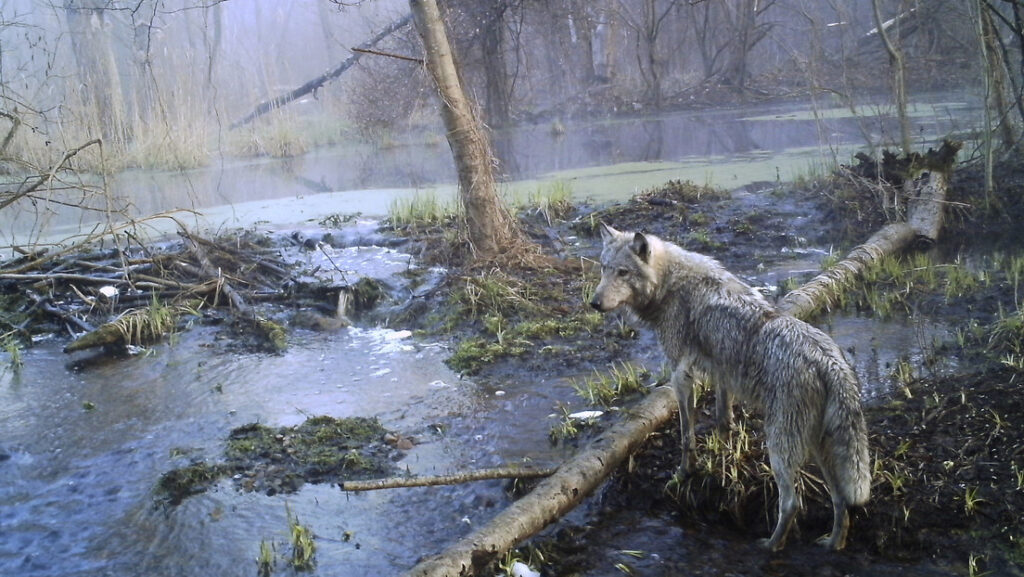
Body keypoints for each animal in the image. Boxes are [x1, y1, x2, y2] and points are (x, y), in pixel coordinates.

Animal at [589, 223, 868, 553]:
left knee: (792, 503)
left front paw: (684, 474)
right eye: (604, 269)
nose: (594, 303)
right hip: (818, 448)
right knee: (841, 500)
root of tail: (830, 362)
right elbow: (723, 421)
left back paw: (770, 546)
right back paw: (833, 543)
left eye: (623, 273)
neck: (670, 284)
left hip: (781, 449)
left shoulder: (681, 375)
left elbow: (686, 435)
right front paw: (722, 460)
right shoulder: (722, 373)